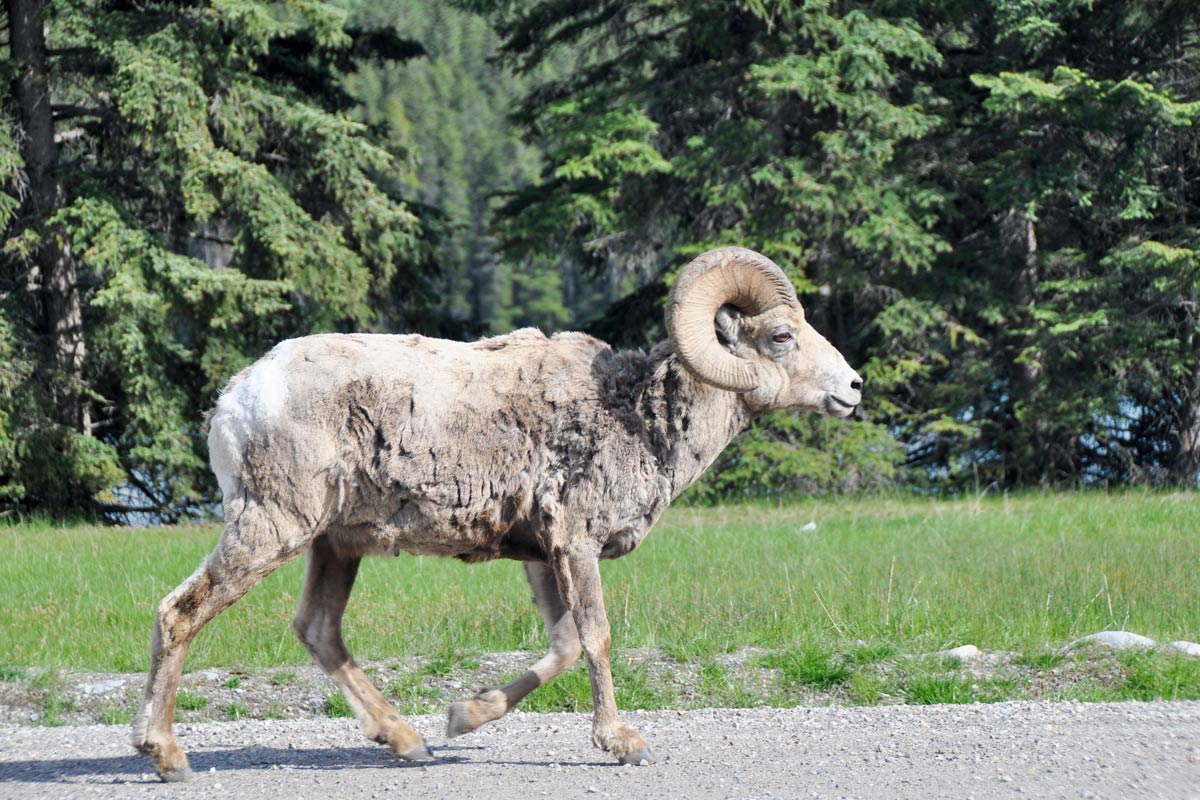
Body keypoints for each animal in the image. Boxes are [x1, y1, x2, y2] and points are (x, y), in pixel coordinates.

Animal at [132, 246, 863, 781]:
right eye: (781, 336)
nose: (853, 388)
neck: (636, 417)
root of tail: (236, 400)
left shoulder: (542, 557)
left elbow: (563, 647)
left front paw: (463, 716)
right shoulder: (576, 546)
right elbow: (596, 639)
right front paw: (622, 743)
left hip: (333, 545)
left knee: (319, 630)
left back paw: (410, 741)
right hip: (271, 529)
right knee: (180, 612)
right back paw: (166, 757)